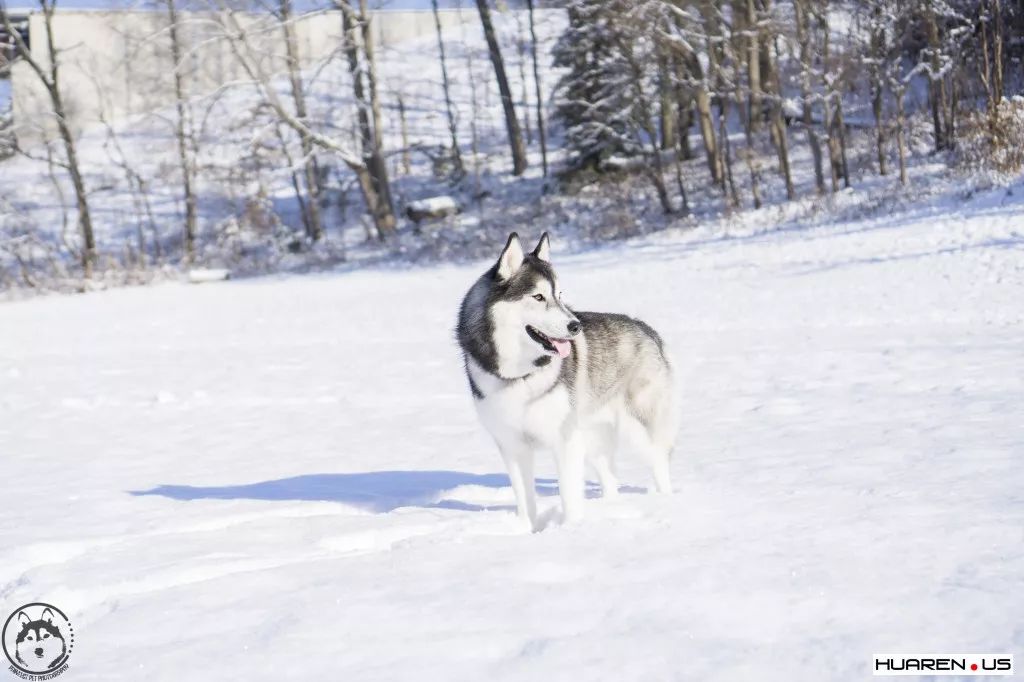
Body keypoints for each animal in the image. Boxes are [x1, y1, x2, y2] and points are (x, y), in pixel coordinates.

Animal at [460, 232, 675, 524]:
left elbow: (570, 496)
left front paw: (571, 529)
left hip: (639, 429)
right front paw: (528, 528)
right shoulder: (512, 446)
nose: (576, 326)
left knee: (660, 465)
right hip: (593, 437)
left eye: (559, 295)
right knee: (610, 480)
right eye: (538, 296)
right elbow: (525, 500)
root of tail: (647, 329)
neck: (520, 374)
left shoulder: (565, 441)